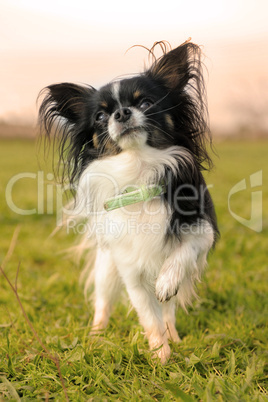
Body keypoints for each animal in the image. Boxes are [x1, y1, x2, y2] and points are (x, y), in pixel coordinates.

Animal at [38, 40, 219, 364]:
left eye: (145, 103)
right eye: (100, 117)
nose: (121, 113)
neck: (138, 170)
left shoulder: (202, 230)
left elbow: (183, 254)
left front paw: (167, 282)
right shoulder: (130, 270)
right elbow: (148, 316)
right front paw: (161, 356)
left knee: (168, 309)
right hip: (106, 268)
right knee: (103, 303)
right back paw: (96, 336)